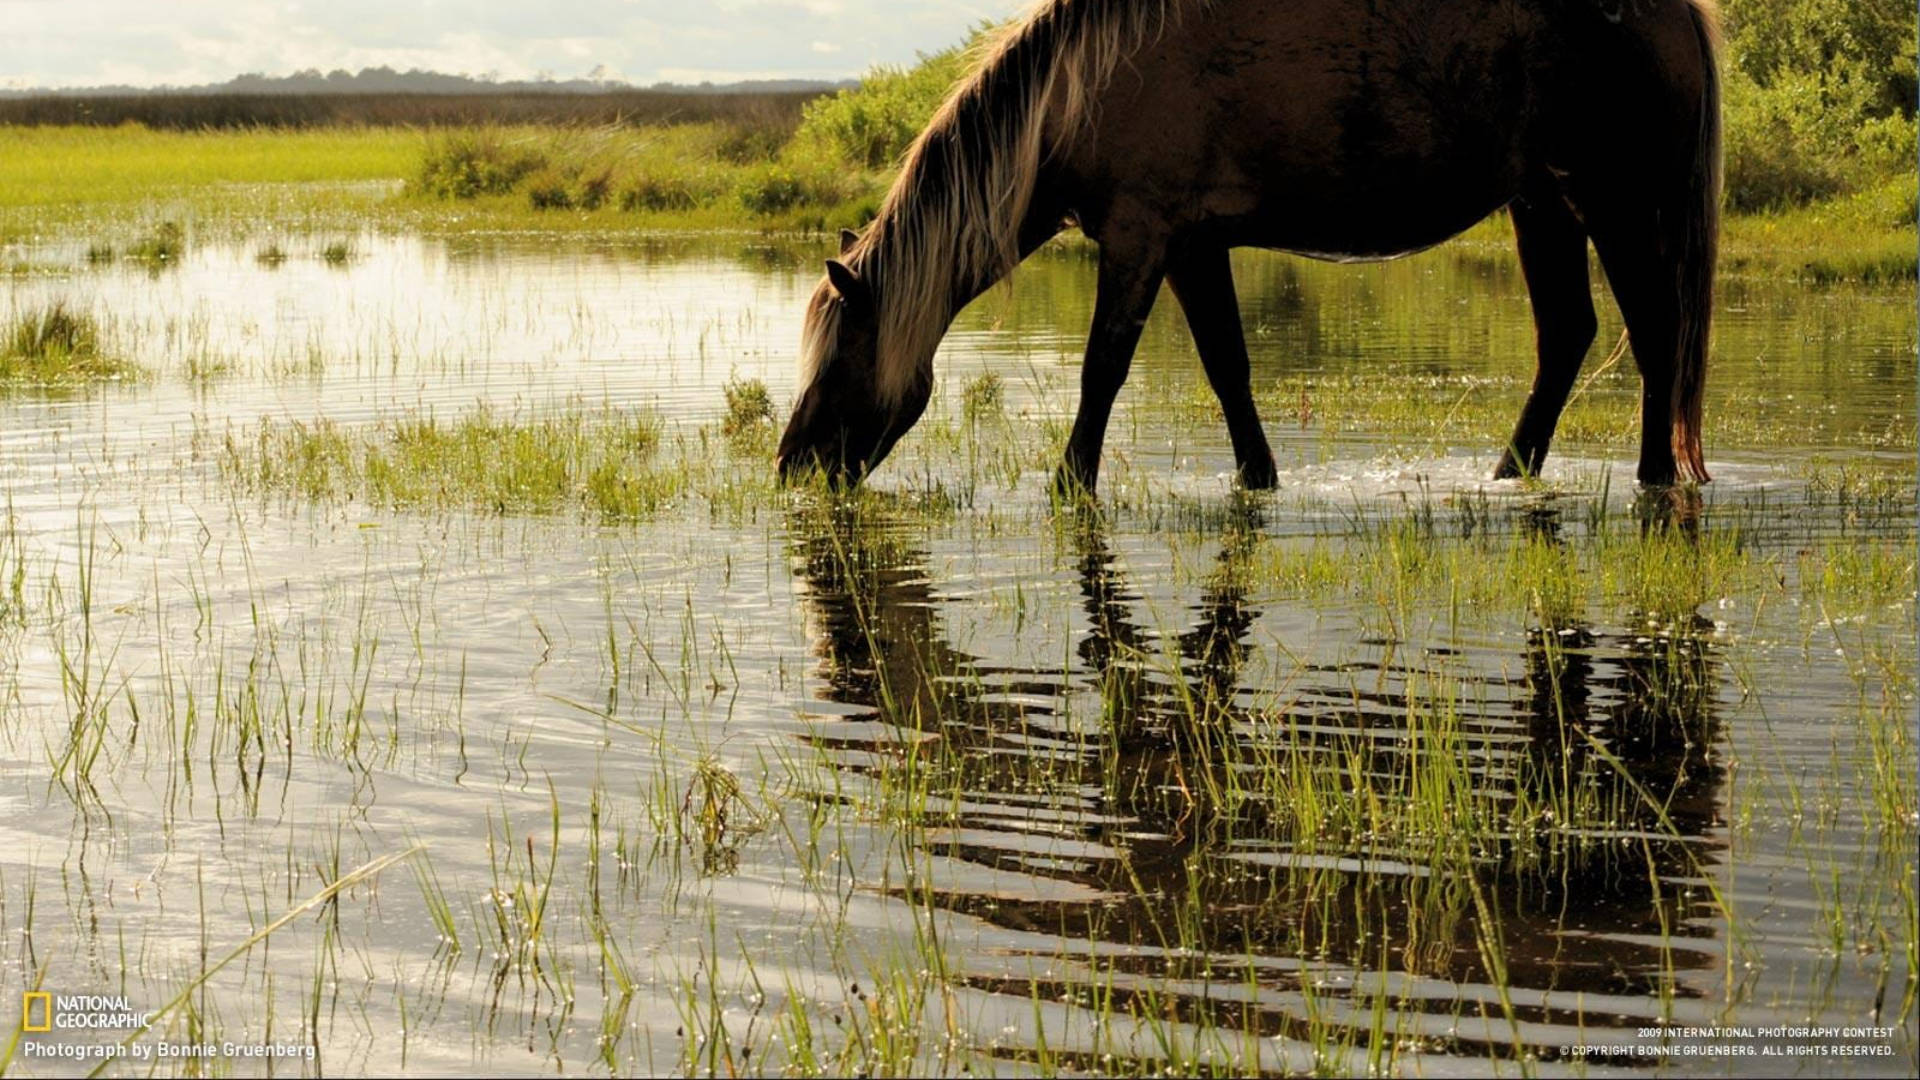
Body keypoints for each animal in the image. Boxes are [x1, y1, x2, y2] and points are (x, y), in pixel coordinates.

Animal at [771, 0, 1720, 491]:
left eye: (842, 355)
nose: (792, 464)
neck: (1079, 89)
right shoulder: (1193, 248)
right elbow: (1228, 365)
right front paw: (1256, 478)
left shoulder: (1140, 239)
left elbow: (1102, 369)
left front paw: (1070, 484)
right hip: (1542, 203)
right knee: (1568, 335)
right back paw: (1508, 474)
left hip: (1612, 201)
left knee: (1655, 332)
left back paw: (1652, 478)